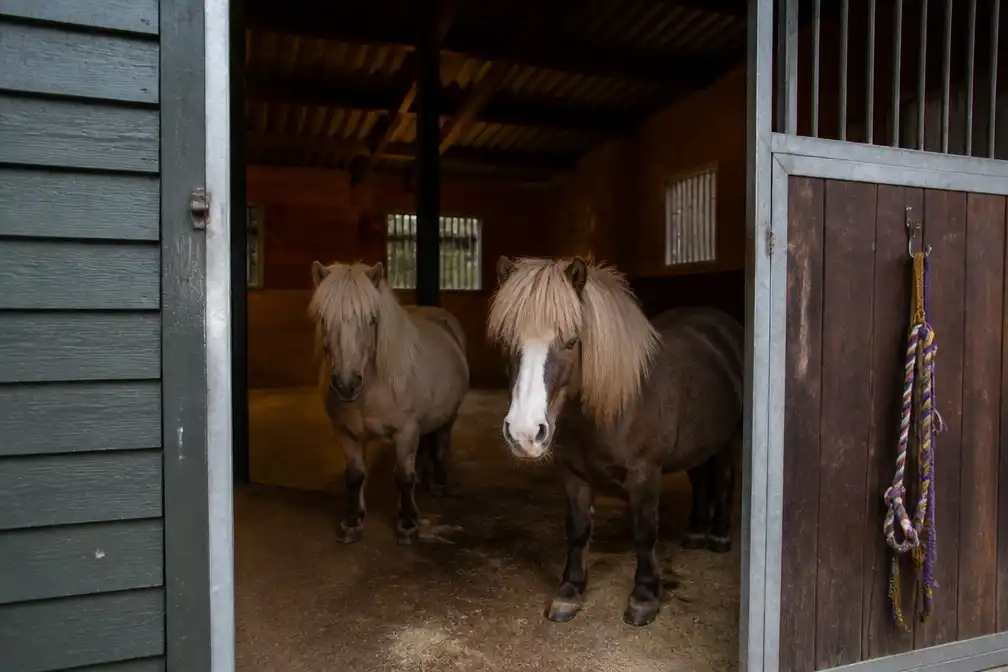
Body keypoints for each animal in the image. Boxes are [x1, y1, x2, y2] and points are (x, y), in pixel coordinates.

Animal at [309, 260, 470, 545]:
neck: (372, 388)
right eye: (324, 318)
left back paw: (438, 484)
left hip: (447, 418)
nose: (346, 384)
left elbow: (404, 477)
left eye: (372, 319)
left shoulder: (406, 432)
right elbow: (355, 476)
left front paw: (407, 524)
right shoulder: (347, 433)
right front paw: (353, 522)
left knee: (441, 442)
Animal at [487, 255, 742, 627]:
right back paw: (695, 533)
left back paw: (720, 536)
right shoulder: (574, 475)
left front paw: (644, 597)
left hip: (729, 442)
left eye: (571, 341)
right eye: (508, 342)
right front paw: (569, 592)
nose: (524, 433)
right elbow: (578, 530)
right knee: (701, 481)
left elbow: (644, 534)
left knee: (723, 482)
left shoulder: (645, 475)